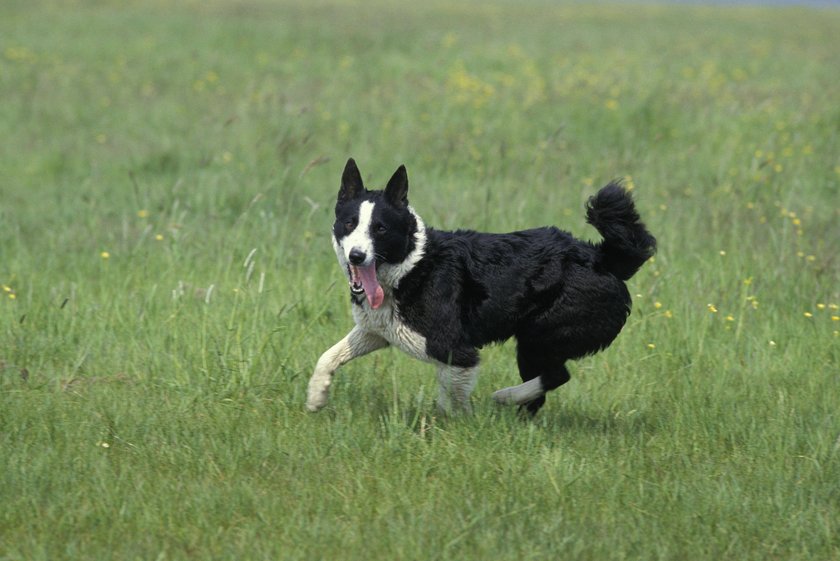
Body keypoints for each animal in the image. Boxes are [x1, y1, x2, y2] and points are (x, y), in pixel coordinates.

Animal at [306, 160, 656, 414]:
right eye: (349, 224)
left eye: (380, 229)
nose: (357, 255)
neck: (410, 266)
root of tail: (605, 257)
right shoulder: (378, 330)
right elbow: (328, 355)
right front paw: (316, 397)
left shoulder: (454, 350)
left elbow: (451, 400)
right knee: (544, 390)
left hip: (539, 334)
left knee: (557, 375)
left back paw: (505, 397)